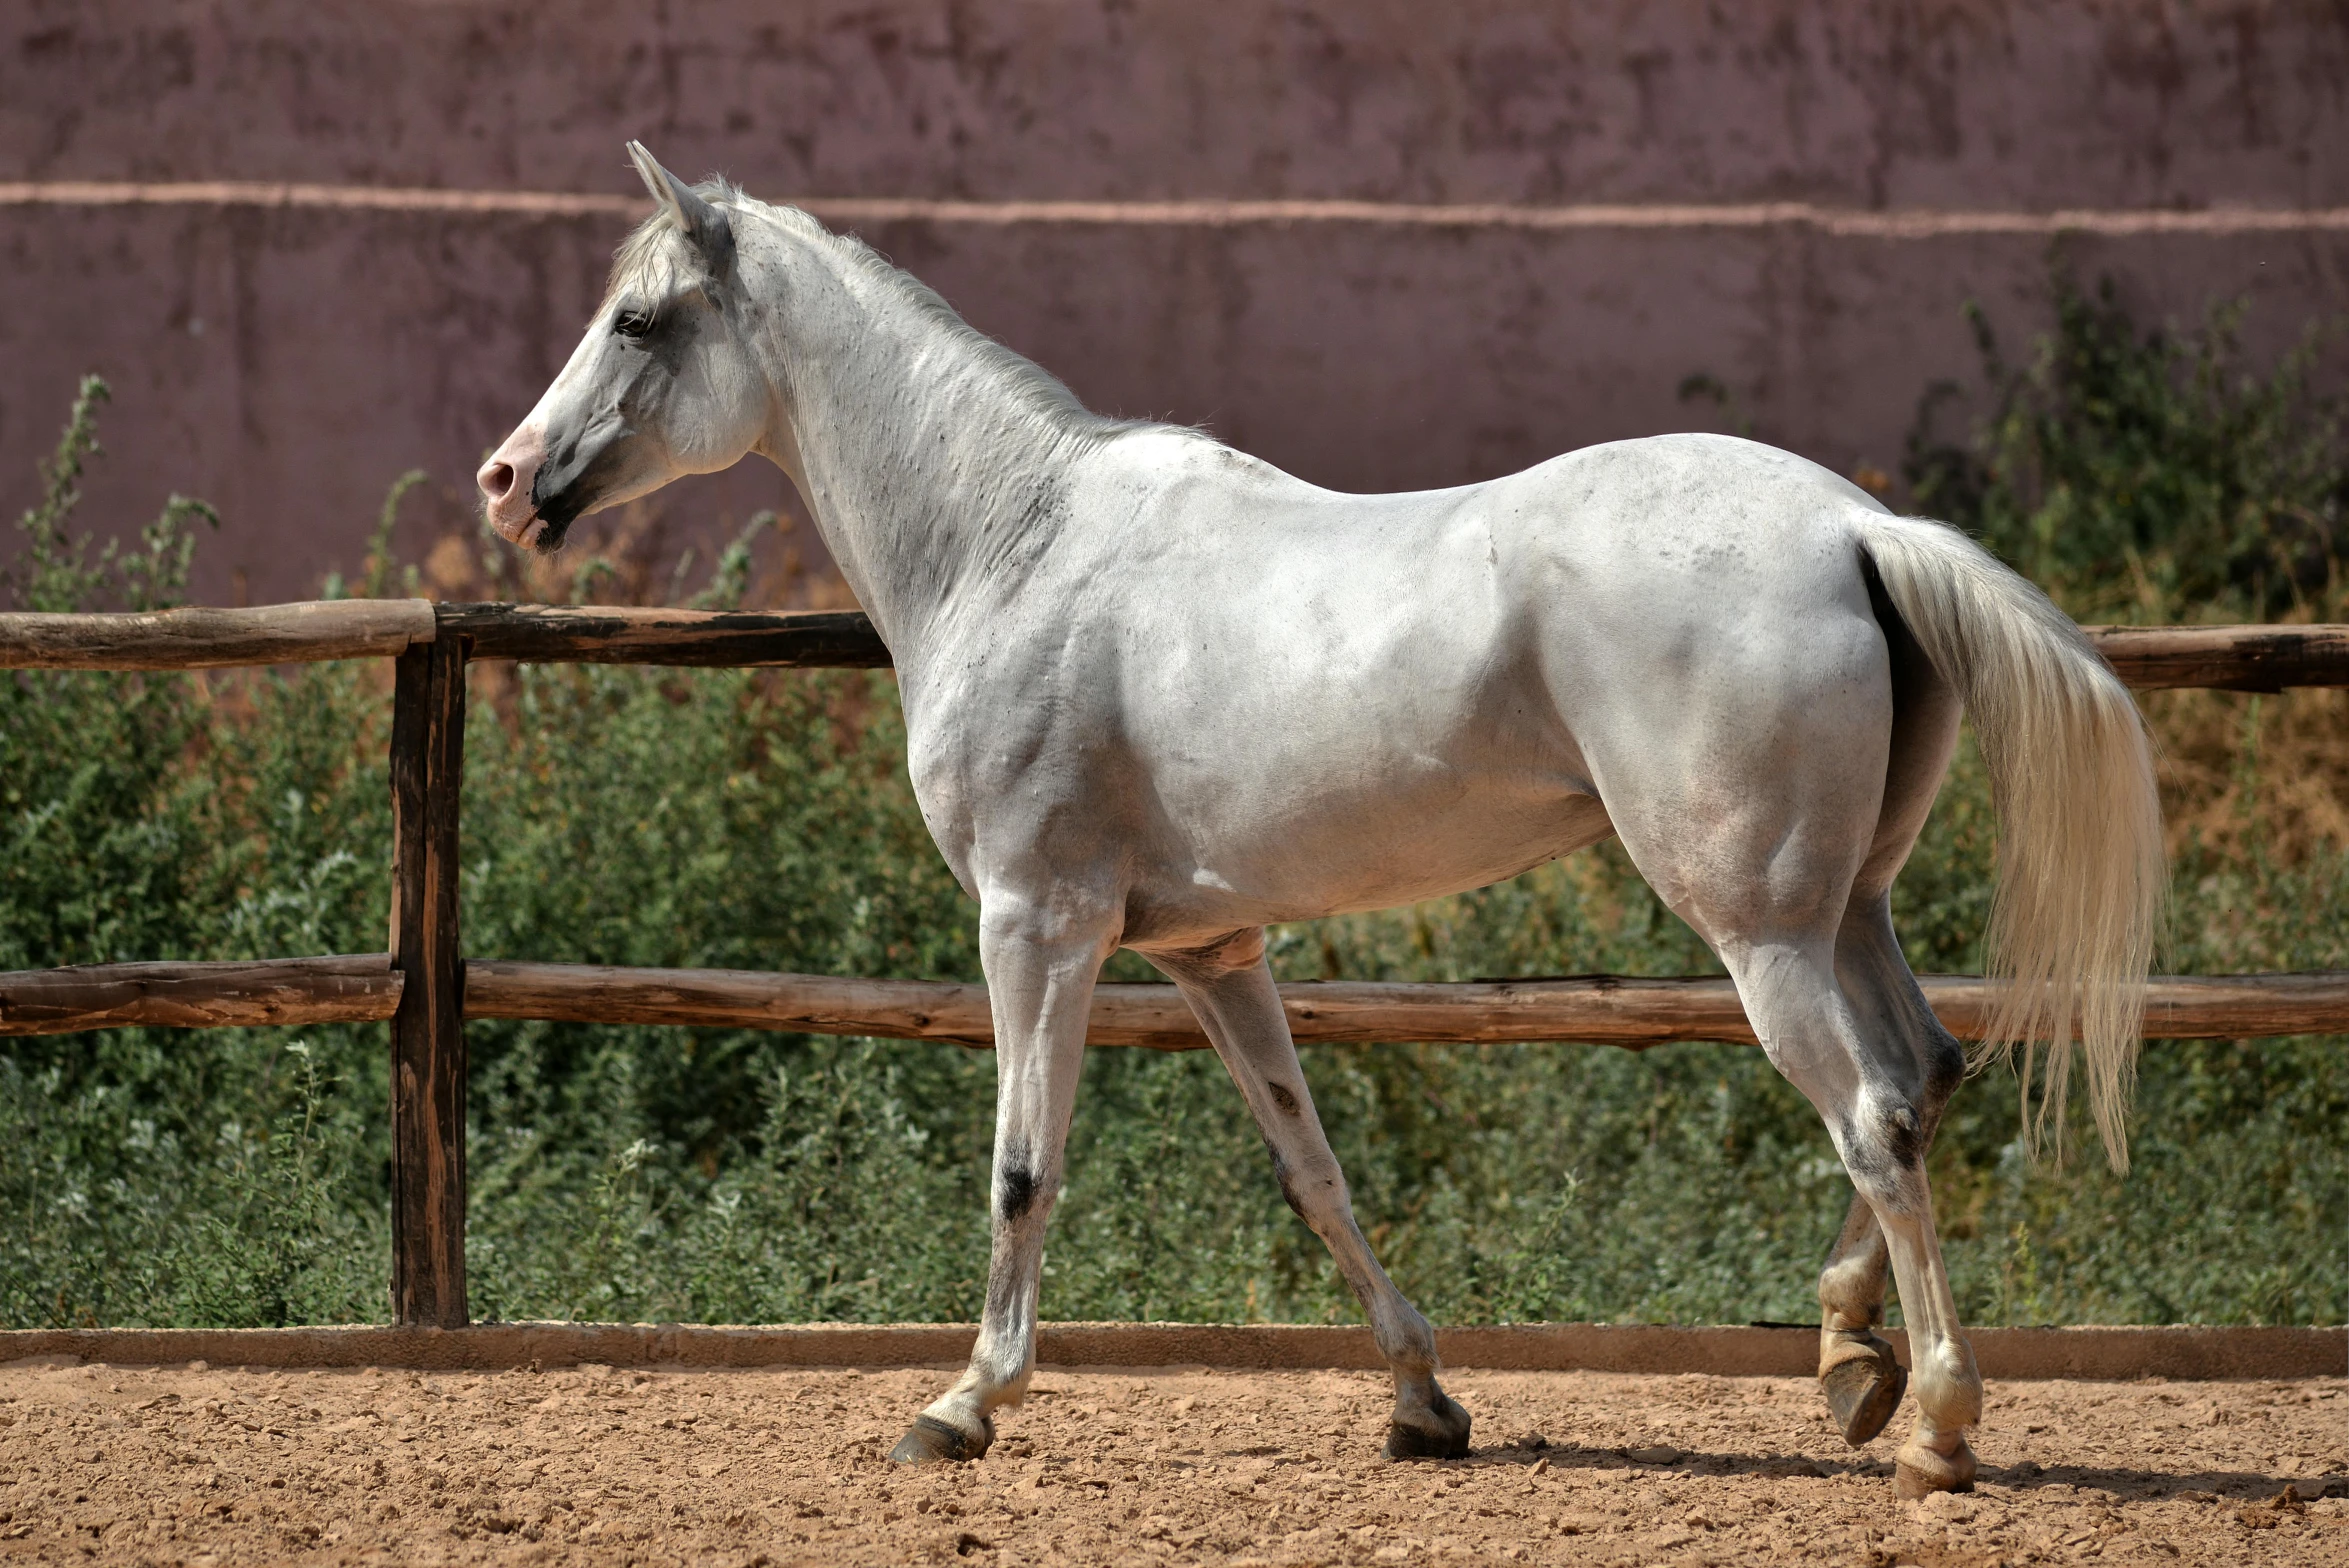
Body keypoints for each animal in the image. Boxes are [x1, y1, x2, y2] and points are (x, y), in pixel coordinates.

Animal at [476, 150, 2161, 1492]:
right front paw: (1423, 1404)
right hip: (1848, 907)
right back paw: (1847, 1366)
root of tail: (1856, 528)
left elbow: (1023, 1165)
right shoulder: (1213, 953)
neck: (1014, 544)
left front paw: (961, 1407)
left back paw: (1936, 1422)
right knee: (1927, 1076)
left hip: (1762, 933)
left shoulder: (1038, 924)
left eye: (639, 321)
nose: (506, 480)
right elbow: (1314, 1170)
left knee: (1871, 1118)